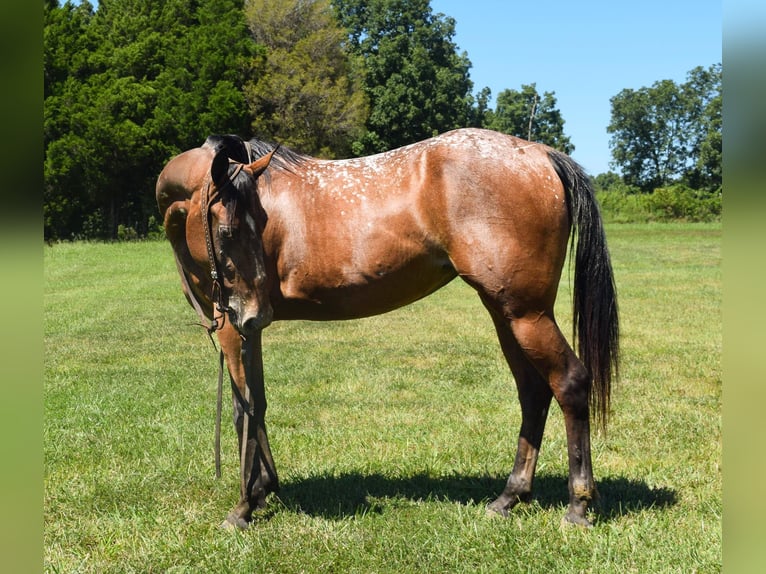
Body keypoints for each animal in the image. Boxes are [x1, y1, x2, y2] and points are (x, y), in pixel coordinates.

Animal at [159, 128, 620, 532]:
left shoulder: (232, 327)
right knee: (534, 393)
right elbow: (258, 404)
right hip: (506, 314)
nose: (257, 312)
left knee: (570, 383)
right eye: (228, 231)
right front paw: (265, 490)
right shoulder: (247, 330)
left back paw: (578, 506)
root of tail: (540, 155)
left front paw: (244, 506)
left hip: (527, 314)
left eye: (251, 225)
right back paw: (509, 497)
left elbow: (243, 409)